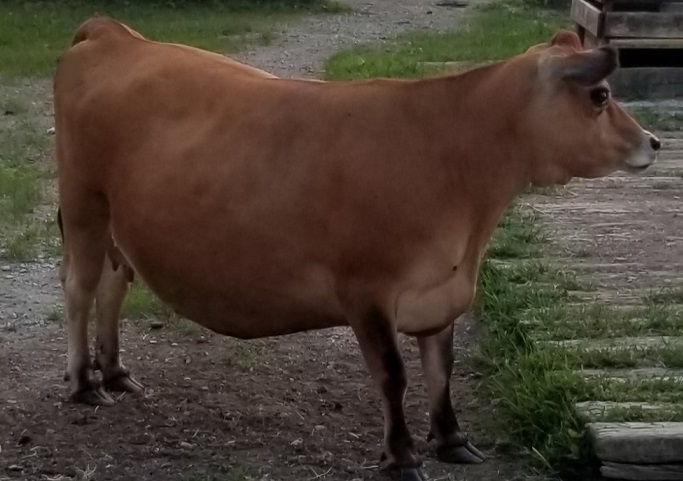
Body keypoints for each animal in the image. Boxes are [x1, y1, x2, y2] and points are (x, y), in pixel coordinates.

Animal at [53, 17, 660, 481]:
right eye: (601, 96)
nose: (654, 142)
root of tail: (116, 33)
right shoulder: (366, 291)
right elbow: (394, 375)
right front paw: (402, 457)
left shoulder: (442, 289)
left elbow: (442, 370)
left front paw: (452, 441)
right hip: (84, 202)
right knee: (80, 288)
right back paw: (85, 383)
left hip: (121, 223)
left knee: (114, 284)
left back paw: (116, 372)